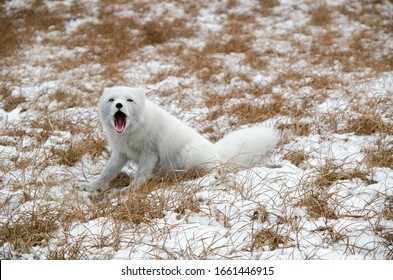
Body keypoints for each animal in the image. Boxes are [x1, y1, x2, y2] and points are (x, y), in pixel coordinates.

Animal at [78, 87, 278, 192]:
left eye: (129, 100)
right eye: (111, 100)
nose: (119, 105)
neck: (130, 132)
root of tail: (218, 155)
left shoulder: (149, 153)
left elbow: (140, 175)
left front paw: (129, 191)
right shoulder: (120, 153)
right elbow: (107, 172)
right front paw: (90, 187)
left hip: (187, 156)